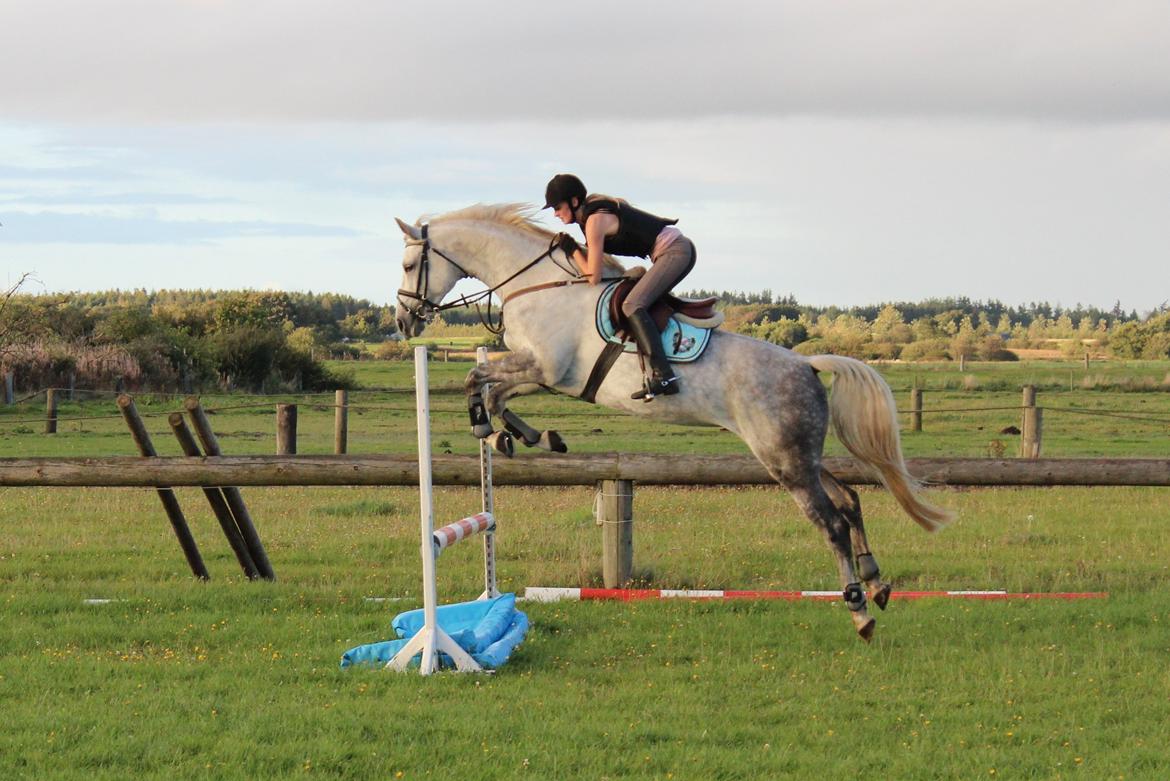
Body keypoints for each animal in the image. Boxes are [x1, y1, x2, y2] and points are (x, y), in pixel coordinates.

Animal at [393, 203, 950, 640]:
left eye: (408, 263)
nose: (403, 321)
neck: (539, 285)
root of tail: (808, 364)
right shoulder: (544, 376)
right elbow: (491, 389)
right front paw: (527, 436)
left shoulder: (546, 369)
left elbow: (478, 378)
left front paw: (492, 430)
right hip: (795, 453)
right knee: (850, 500)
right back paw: (877, 582)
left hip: (783, 458)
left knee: (830, 520)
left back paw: (859, 610)